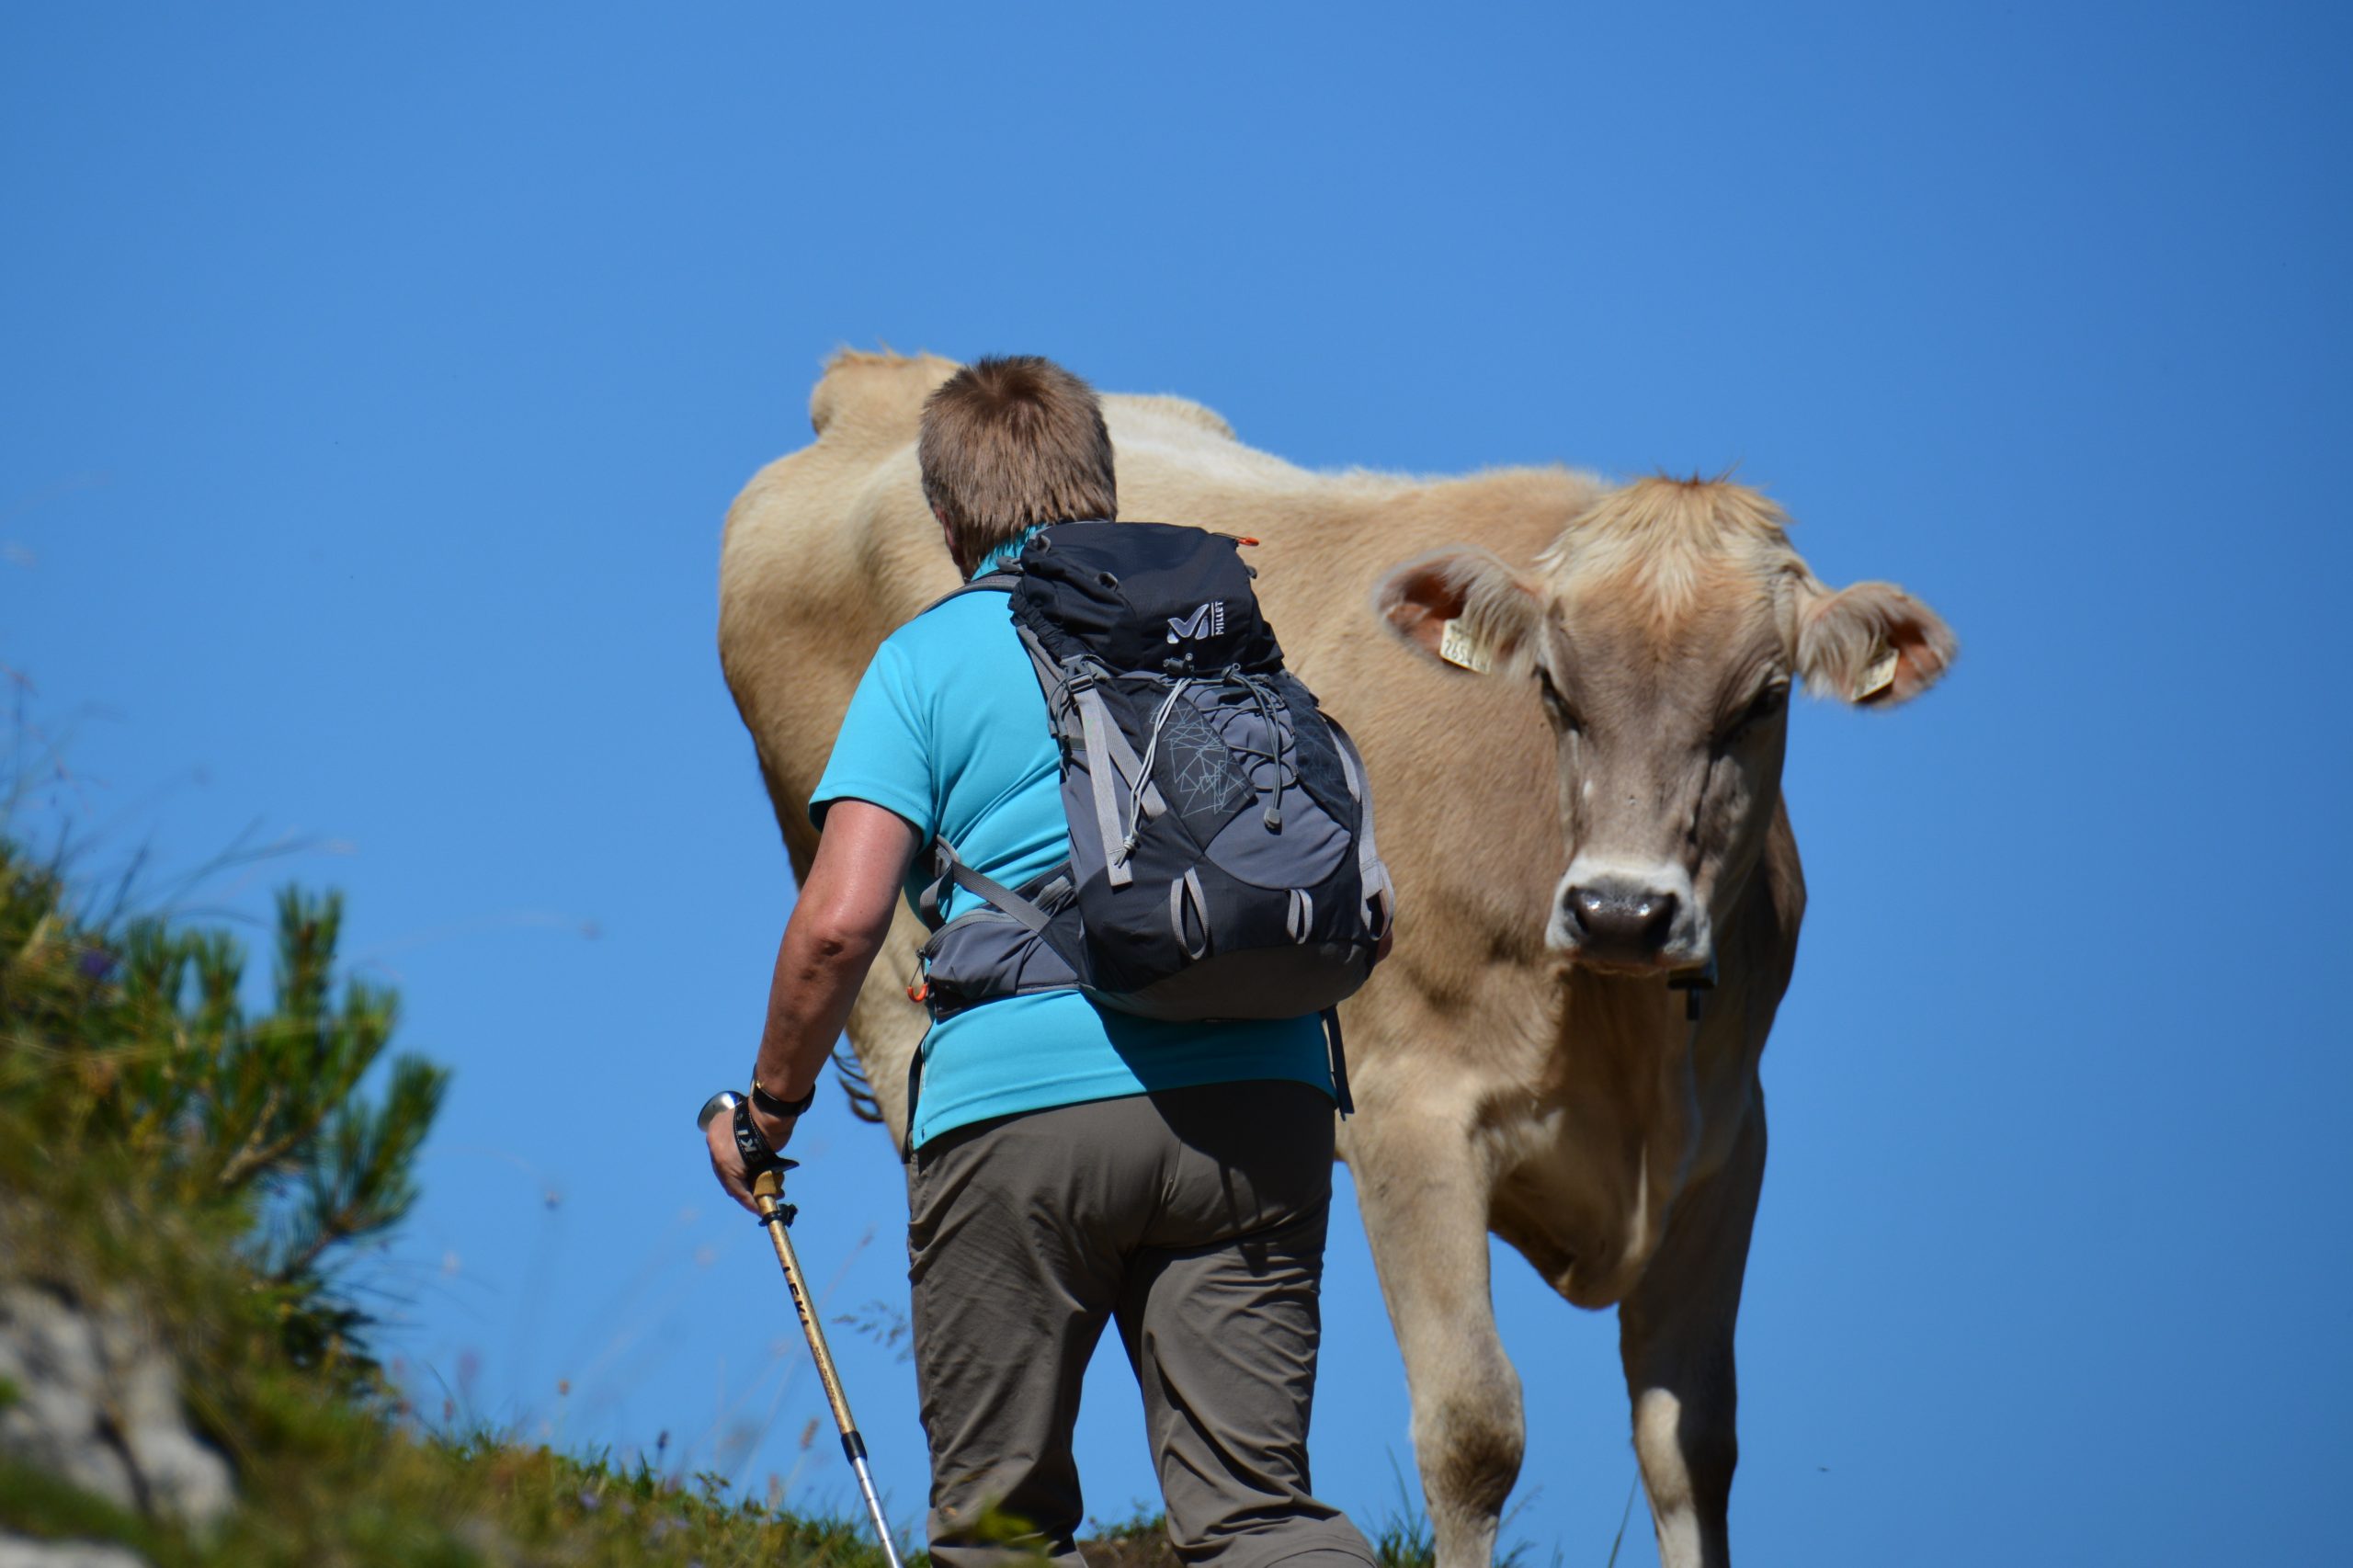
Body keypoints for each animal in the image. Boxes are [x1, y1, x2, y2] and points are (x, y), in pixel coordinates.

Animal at [715, 350, 1948, 1562]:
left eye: (1764, 697)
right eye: (1554, 687)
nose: (1621, 911)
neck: (1618, 1031)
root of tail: (882, 379)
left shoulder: (1726, 1142)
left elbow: (1690, 1448)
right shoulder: (1415, 1111)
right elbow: (1474, 1429)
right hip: (886, 990)